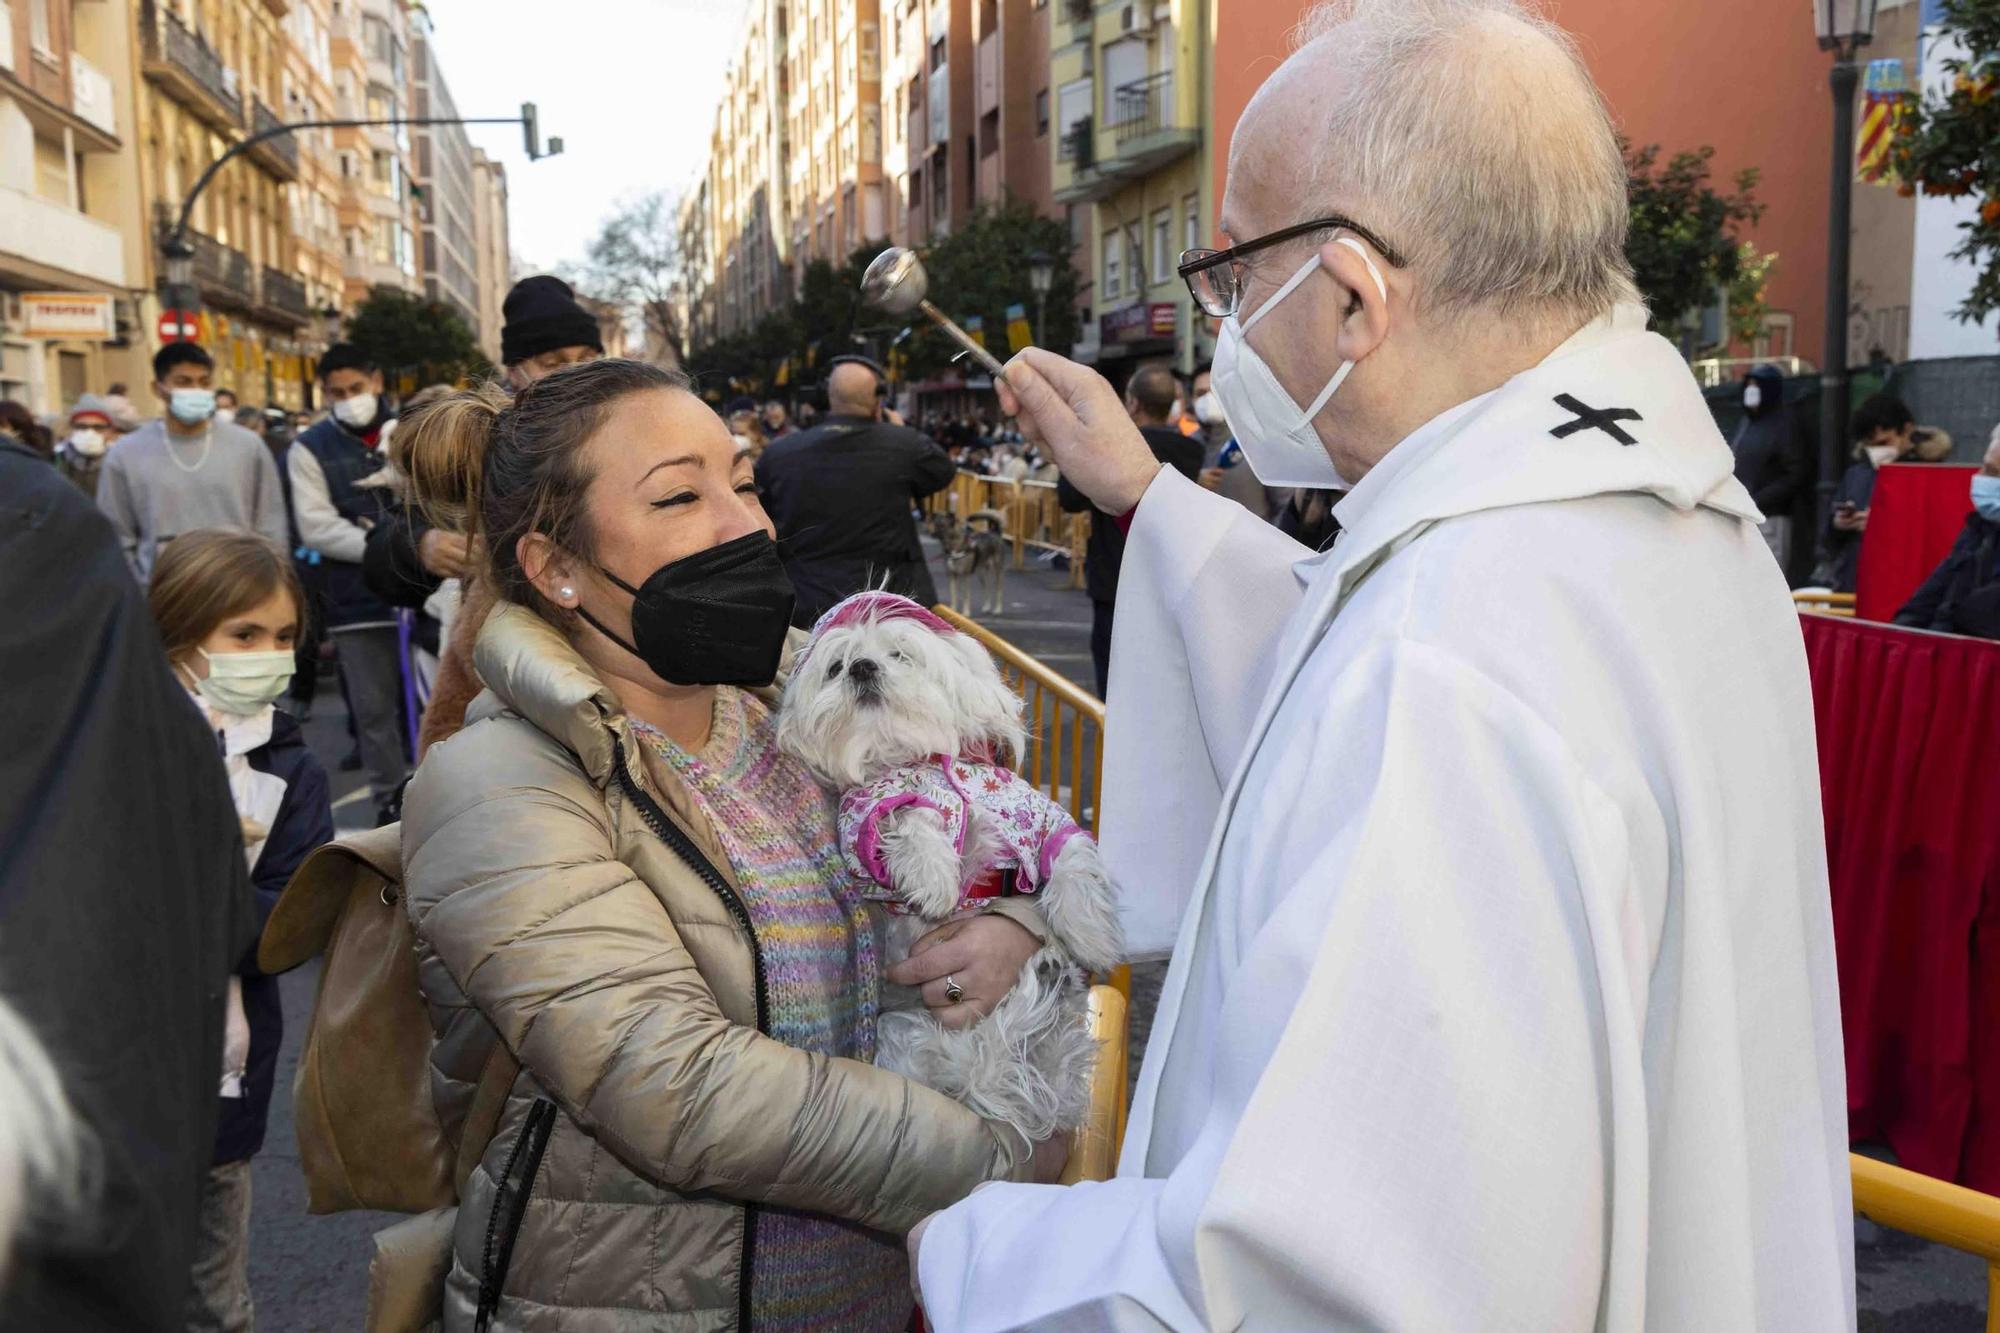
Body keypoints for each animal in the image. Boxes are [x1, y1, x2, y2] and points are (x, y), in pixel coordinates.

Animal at [776, 592, 1128, 1144]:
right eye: (836, 667)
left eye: (899, 654)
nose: (861, 667)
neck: (913, 759)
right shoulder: (866, 818)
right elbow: (910, 818)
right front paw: (935, 878)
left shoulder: (1036, 814)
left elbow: (1071, 860)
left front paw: (1092, 937)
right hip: (906, 1037)